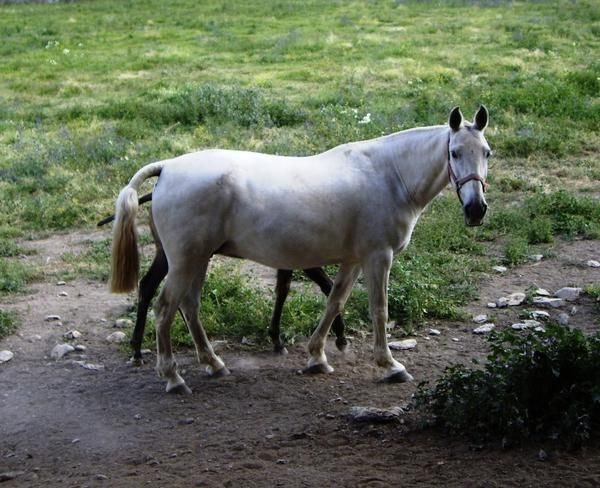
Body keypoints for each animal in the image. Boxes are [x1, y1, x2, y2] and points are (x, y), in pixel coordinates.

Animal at [110, 106, 490, 392]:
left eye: (487, 152)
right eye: (454, 153)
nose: (476, 209)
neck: (389, 175)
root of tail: (167, 168)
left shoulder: (354, 260)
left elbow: (335, 302)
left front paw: (317, 357)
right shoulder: (378, 257)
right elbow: (378, 310)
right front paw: (390, 365)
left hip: (197, 260)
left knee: (189, 306)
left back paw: (213, 364)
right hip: (185, 261)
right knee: (164, 309)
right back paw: (173, 377)